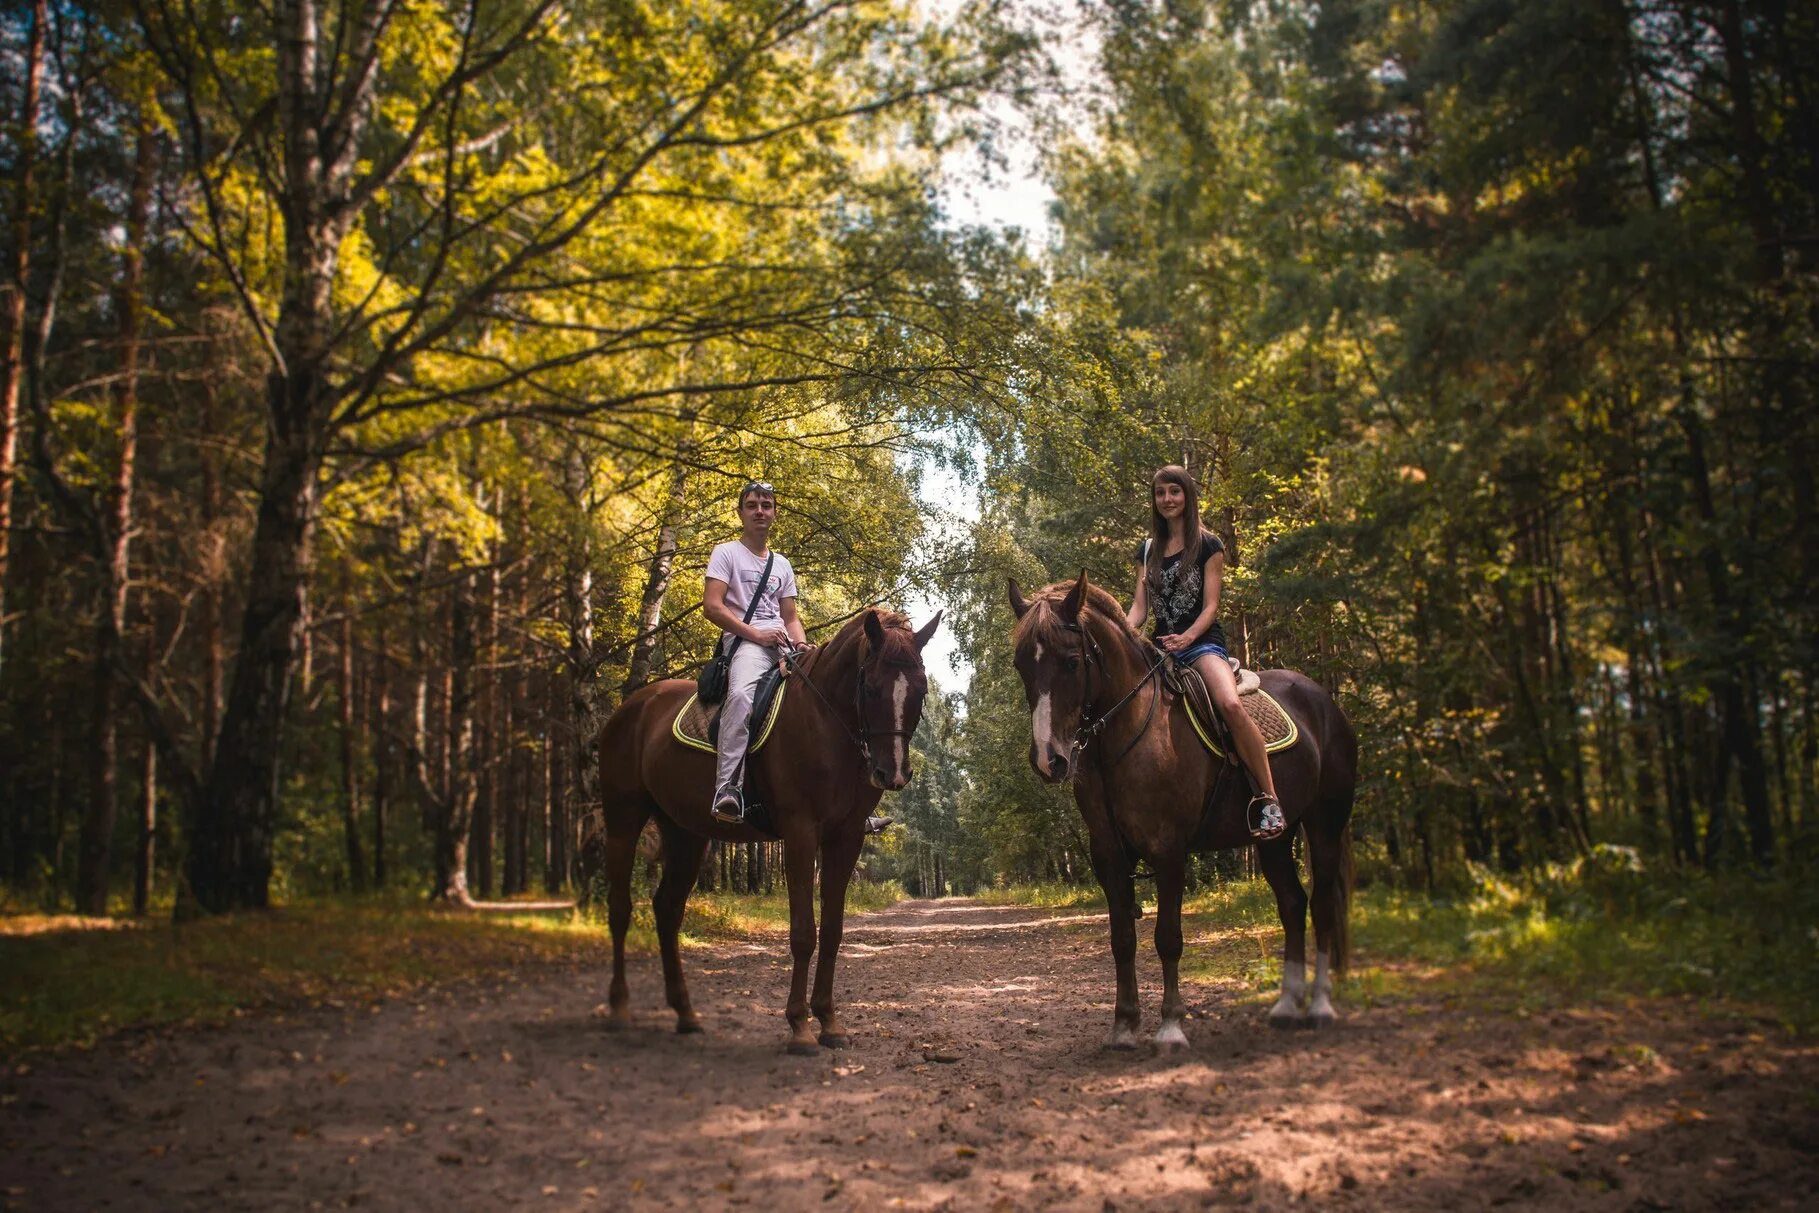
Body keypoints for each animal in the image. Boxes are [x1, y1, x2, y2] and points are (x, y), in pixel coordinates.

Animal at [596, 607, 938, 1054]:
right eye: (870, 686)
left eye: (921, 690)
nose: (892, 772)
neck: (827, 724)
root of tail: (630, 707)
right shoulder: (800, 832)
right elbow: (804, 933)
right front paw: (800, 1028)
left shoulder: (846, 837)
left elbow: (832, 931)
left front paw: (830, 1022)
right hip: (624, 817)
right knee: (620, 908)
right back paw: (619, 1009)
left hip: (685, 832)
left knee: (667, 909)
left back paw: (686, 1014)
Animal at [1004, 574, 1360, 1047]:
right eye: (1021, 665)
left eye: (1071, 663)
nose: (1049, 760)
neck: (1127, 735)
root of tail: (1325, 701)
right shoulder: (1109, 857)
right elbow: (1122, 938)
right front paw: (1124, 1025)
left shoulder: (1169, 850)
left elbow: (1168, 937)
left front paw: (1171, 1026)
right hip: (1275, 841)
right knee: (1291, 903)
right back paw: (1286, 1006)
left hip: (1324, 825)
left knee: (1320, 905)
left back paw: (1319, 1006)